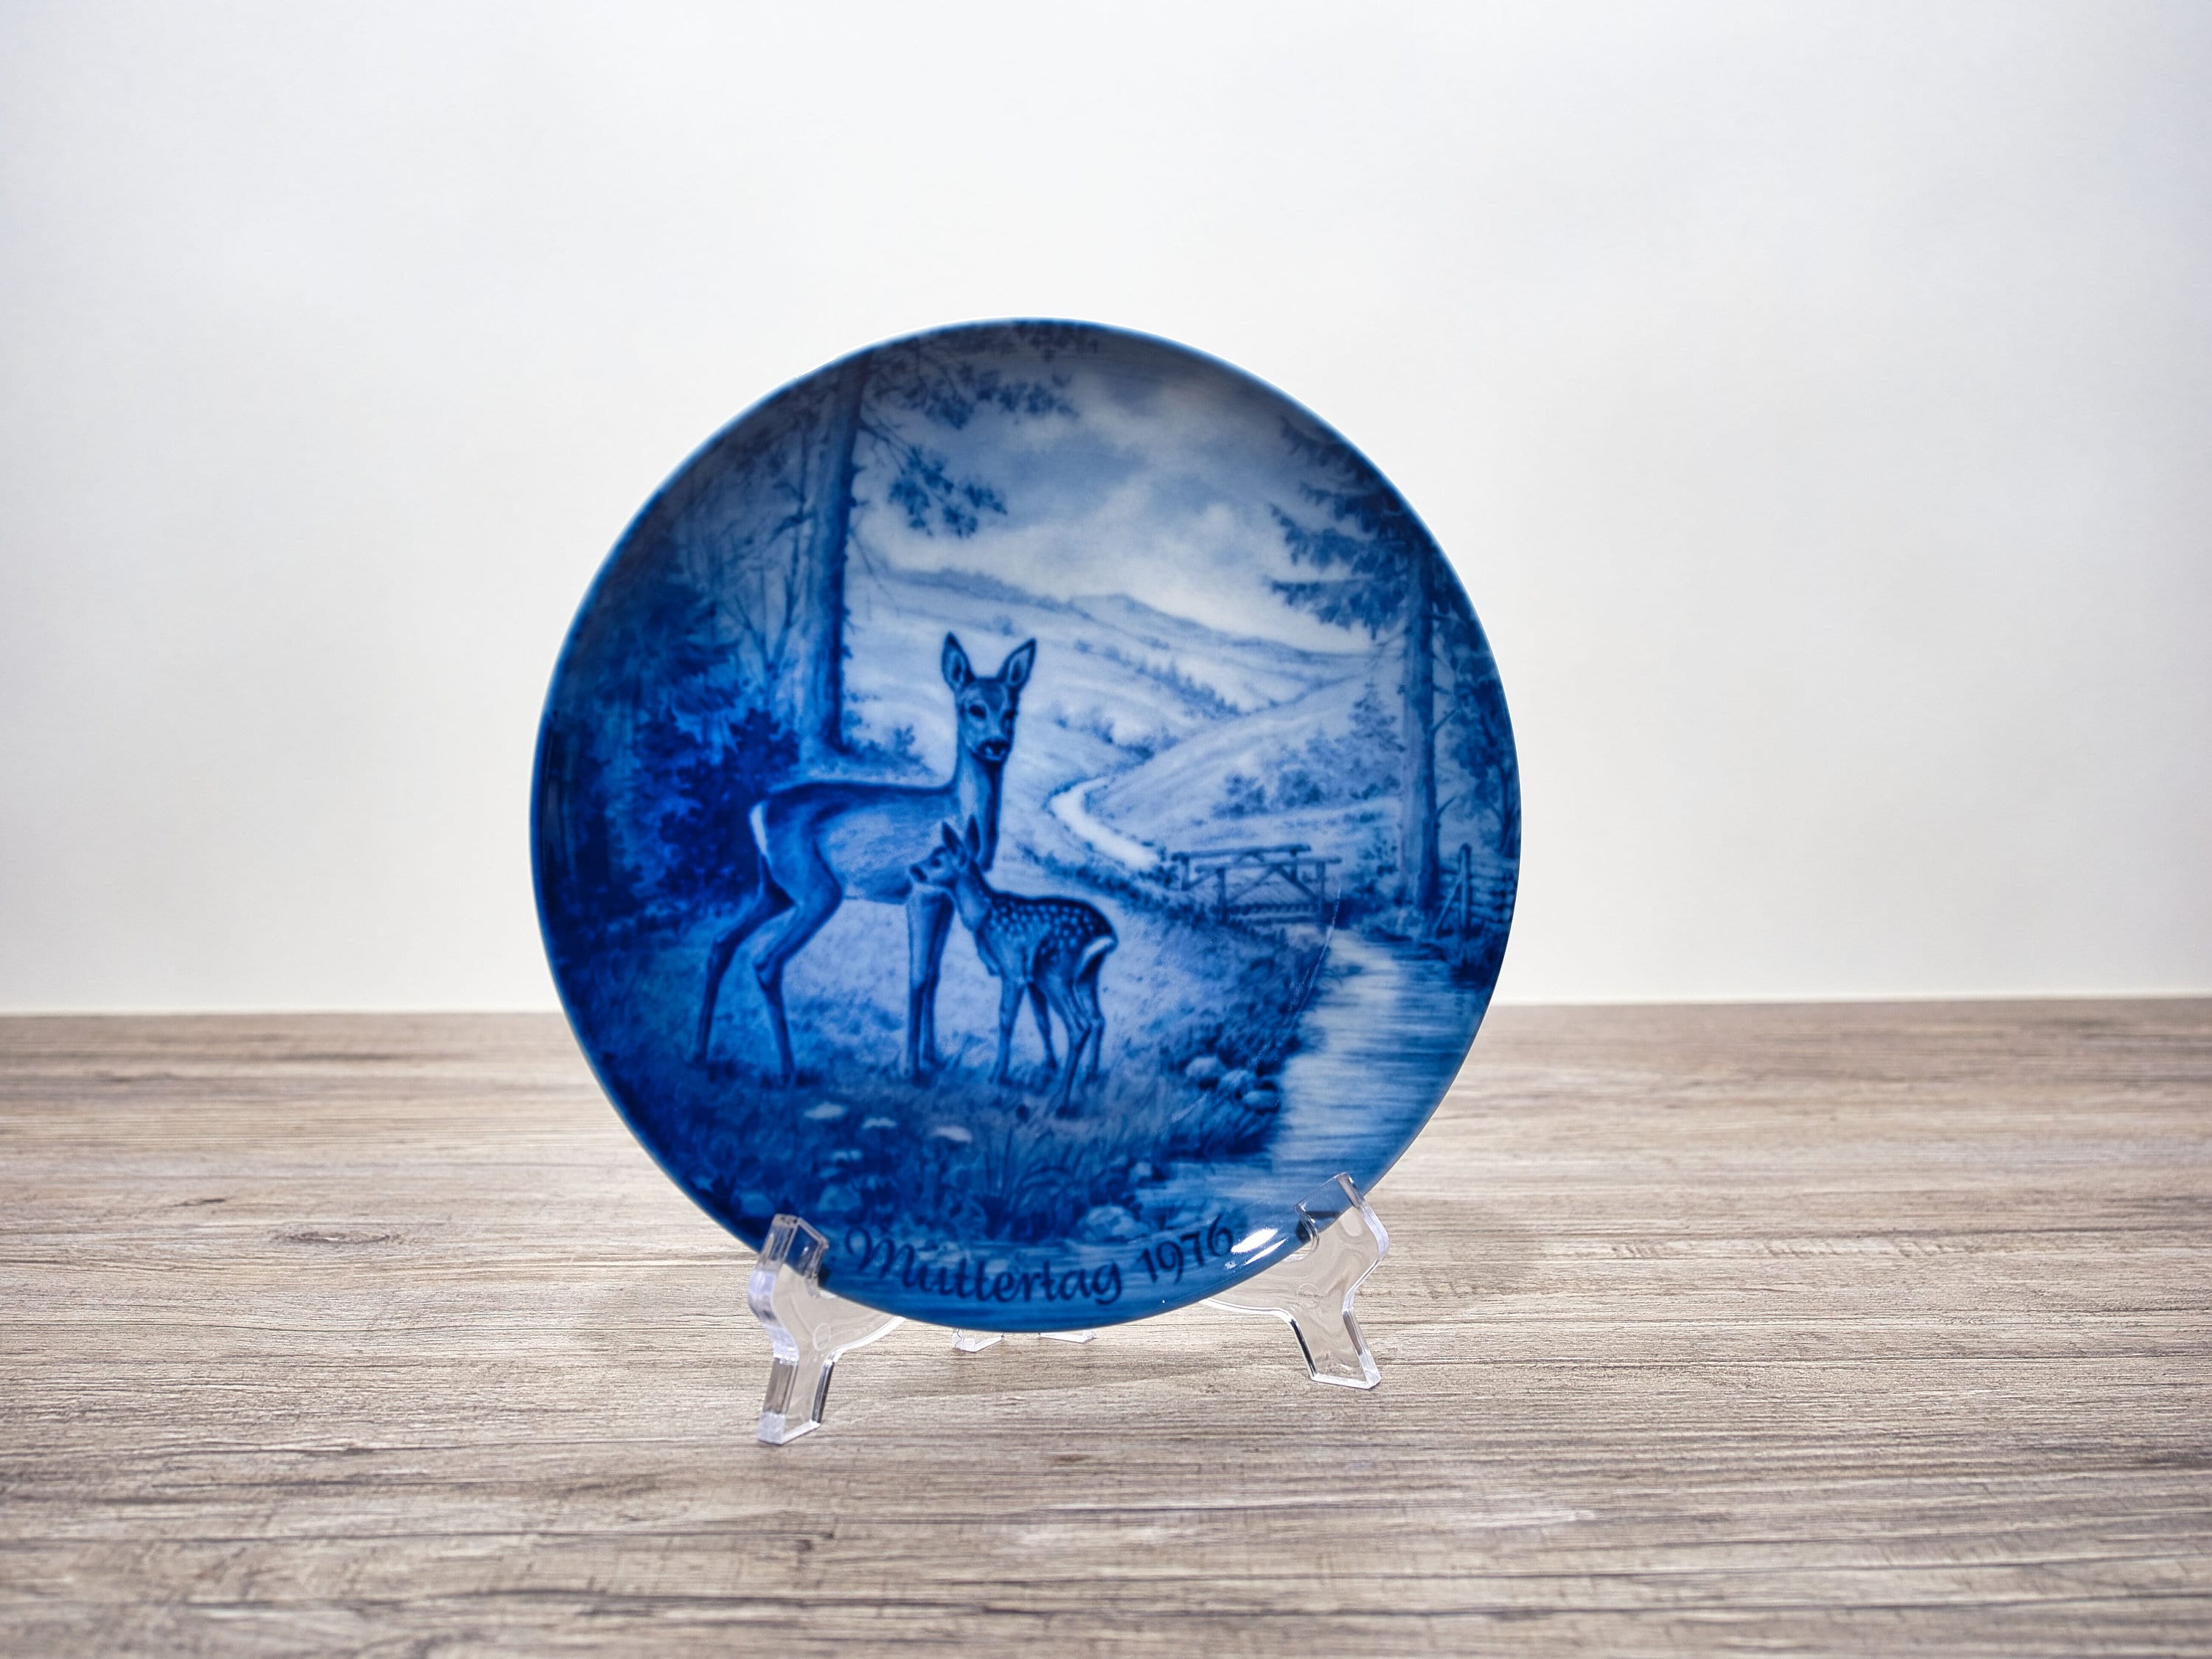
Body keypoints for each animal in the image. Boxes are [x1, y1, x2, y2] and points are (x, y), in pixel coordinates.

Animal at [693, 634, 1036, 1084]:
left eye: (1011, 712)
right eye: (973, 707)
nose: (997, 744)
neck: (958, 815)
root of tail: (758, 812)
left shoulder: (946, 899)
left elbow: (936, 974)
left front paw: (934, 1058)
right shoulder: (921, 891)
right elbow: (918, 976)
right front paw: (911, 1068)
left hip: (776, 888)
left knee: (722, 942)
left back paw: (700, 1053)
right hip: (817, 889)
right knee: (766, 960)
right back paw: (789, 1071)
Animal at [908, 817, 1116, 1115]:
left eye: (937, 861)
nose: (913, 869)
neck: (985, 915)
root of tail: (1106, 937)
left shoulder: (1012, 970)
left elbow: (1006, 1019)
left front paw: (998, 1075)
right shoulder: (1031, 979)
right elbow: (1041, 1021)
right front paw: (1047, 1067)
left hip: (1056, 973)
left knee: (1080, 1026)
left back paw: (1061, 1102)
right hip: (1085, 975)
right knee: (1098, 1019)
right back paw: (1089, 1076)